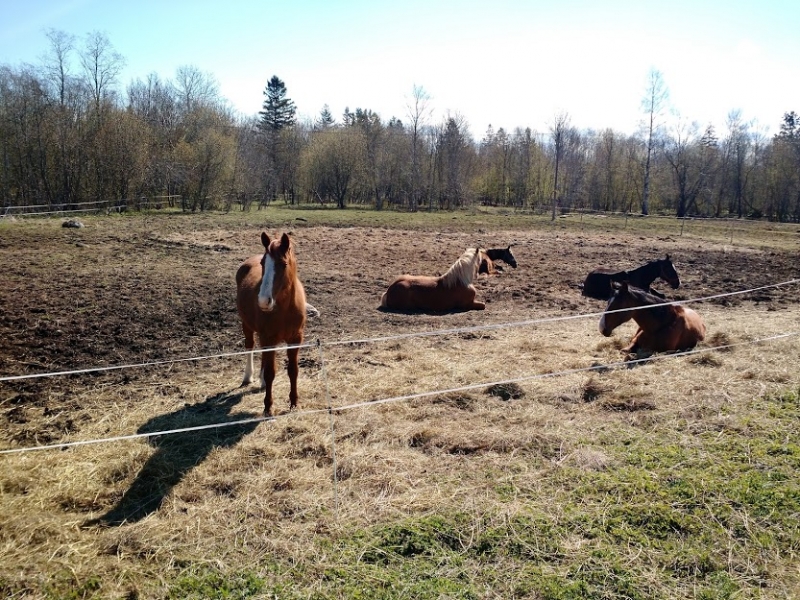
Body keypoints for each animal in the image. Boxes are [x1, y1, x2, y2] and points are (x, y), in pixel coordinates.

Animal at [234, 232, 306, 414]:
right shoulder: (268, 338)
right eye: (263, 264)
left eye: (283, 264)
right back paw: (248, 377)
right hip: (247, 325)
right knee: (250, 346)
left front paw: (294, 403)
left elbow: (293, 371)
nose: (263, 301)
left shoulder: (295, 339)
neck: (285, 308)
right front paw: (268, 407)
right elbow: (270, 373)